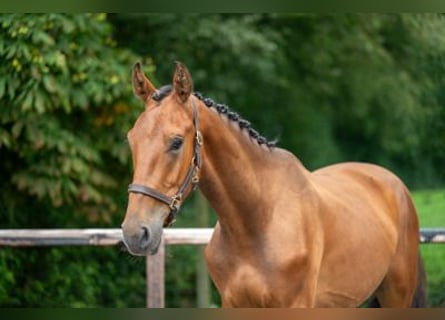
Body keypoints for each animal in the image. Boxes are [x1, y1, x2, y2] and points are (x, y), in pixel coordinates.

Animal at [121, 60, 426, 308]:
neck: (257, 222)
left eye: (176, 142)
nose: (135, 233)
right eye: (131, 139)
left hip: (396, 294)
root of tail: (394, 184)